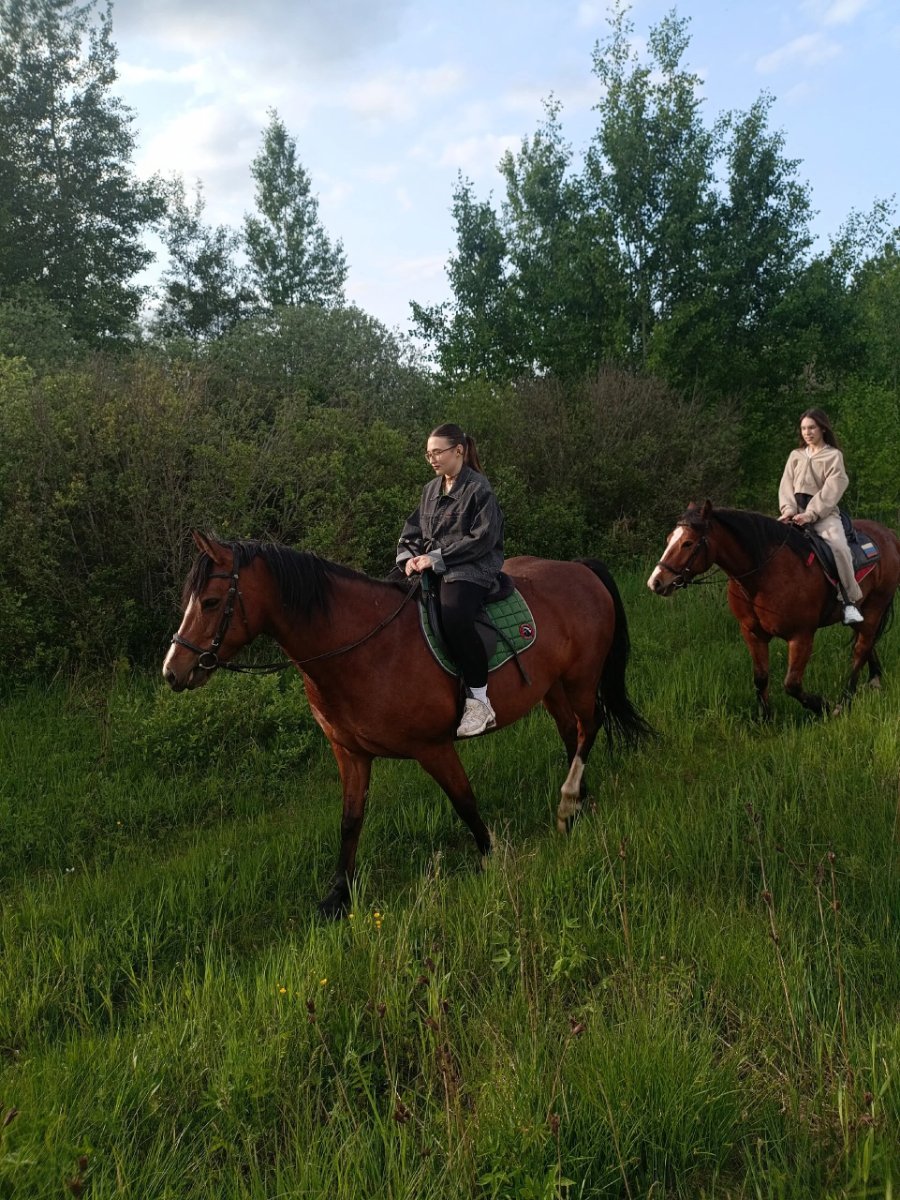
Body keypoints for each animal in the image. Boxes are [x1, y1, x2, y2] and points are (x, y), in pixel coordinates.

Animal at [163, 533, 651, 916]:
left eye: (210, 602)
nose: (173, 671)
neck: (364, 649)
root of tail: (580, 570)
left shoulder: (433, 748)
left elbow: (464, 801)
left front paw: (491, 857)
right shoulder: (350, 753)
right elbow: (350, 820)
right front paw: (338, 897)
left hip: (582, 679)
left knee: (589, 728)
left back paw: (569, 803)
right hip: (552, 688)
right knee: (572, 734)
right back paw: (580, 803)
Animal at [647, 501, 900, 717]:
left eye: (688, 543)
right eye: (669, 539)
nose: (656, 582)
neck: (764, 574)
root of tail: (888, 534)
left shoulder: (801, 636)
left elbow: (792, 685)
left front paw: (823, 706)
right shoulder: (753, 633)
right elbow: (760, 678)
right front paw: (765, 718)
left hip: (875, 607)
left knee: (860, 649)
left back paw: (845, 701)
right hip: (863, 611)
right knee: (866, 644)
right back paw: (874, 680)